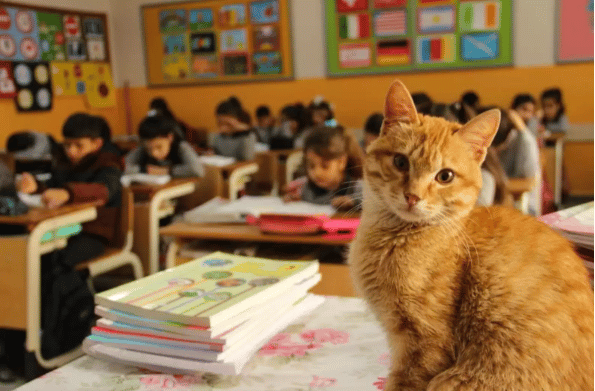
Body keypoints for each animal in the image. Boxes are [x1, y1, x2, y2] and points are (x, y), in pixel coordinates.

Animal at [350, 80, 595, 391]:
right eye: (400, 162)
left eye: (445, 176)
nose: (412, 196)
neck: (394, 237)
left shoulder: (425, 343)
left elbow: (404, 381)